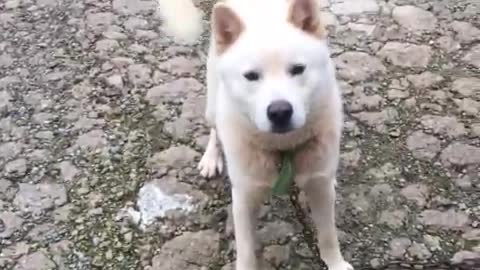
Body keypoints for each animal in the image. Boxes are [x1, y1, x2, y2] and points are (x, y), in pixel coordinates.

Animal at [158, 0, 352, 270]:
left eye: (298, 69)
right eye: (251, 76)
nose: (280, 112)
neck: (283, 149)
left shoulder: (320, 189)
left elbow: (328, 235)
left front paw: (335, 262)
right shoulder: (244, 199)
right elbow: (247, 250)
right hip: (212, 106)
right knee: (214, 129)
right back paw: (211, 158)